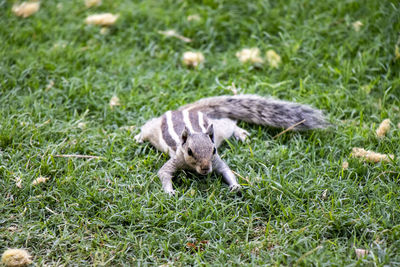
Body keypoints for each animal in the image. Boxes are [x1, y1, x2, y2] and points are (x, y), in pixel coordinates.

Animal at [134, 95, 328, 196]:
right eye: (189, 151)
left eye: (214, 150)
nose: (205, 169)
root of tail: (186, 111)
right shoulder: (176, 158)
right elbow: (163, 172)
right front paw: (170, 192)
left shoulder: (217, 161)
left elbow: (226, 170)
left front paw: (235, 186)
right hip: (154, 128)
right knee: (147, 127)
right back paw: (138, 137)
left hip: (220, 130)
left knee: (230, 123)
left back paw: (241, 134)